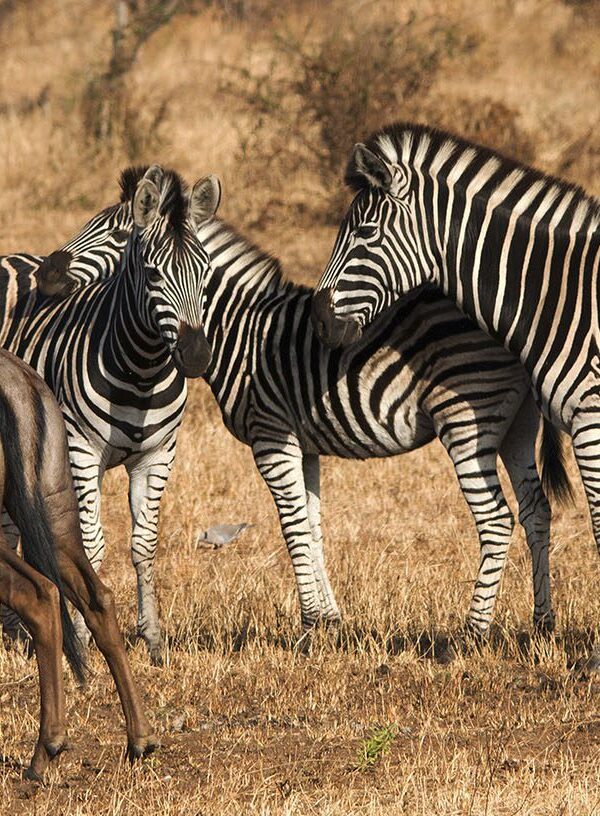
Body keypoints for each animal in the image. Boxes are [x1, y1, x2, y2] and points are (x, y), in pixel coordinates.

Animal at [0, 165, 221, 664]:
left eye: (205, 272)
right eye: (154, 273)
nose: (197, 355)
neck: (141, 369)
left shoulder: (158, 456)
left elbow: (144, 544)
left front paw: (153, 640)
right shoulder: (81, 452)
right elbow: (89, 544)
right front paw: (84, 637)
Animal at [195, 217, 568, 637]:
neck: (239, 328)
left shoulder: (270, 434)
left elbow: (293, 527)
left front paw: (309, 626)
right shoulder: (303, 445)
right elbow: (312, 525)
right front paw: (329, 619)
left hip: (467, 415)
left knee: (496, 519)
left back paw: (474, 630)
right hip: (518, 424)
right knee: (536, 510)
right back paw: (543, 622)